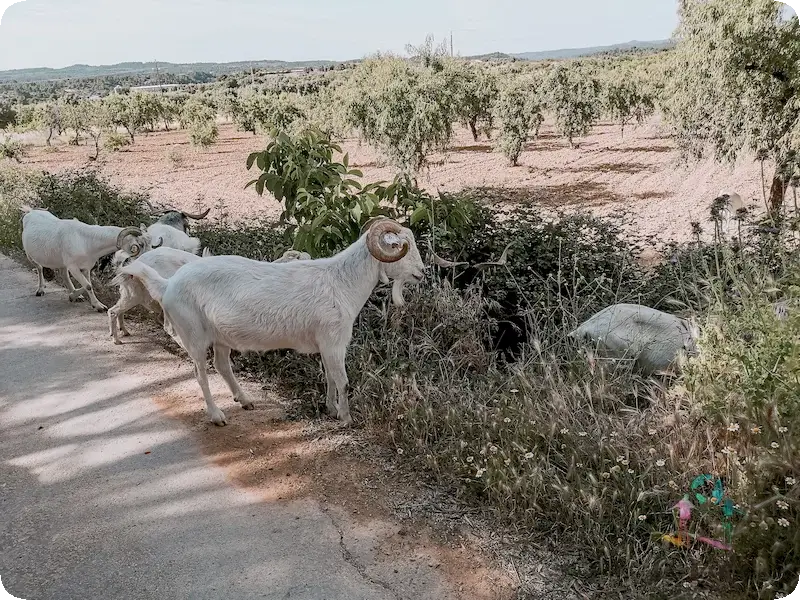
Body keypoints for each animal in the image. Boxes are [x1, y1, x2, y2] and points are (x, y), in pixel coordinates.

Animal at [120, 219, 424, 426]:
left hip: (220, 337)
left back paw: (245, 401)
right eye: (398, 246)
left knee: (221, 365)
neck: (340, 281)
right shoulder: (334, 342)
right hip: (193, 334)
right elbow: (343, 381)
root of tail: (168, 284)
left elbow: (329, 377)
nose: (422, 272)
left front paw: (331, 409)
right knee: (200, 373)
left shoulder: (327, 345)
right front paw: (347, 418)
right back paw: (217, 415)